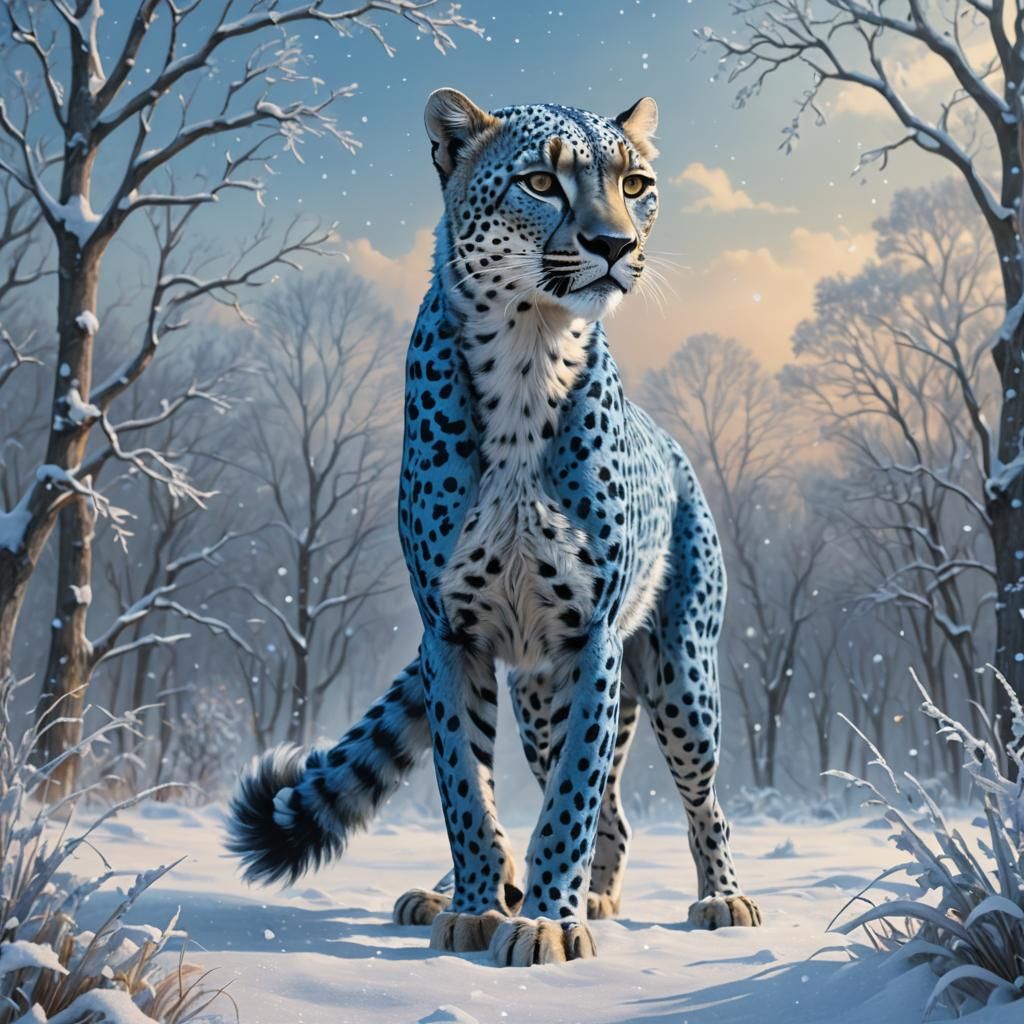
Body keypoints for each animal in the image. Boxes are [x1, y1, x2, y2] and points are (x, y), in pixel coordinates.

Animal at [227, 88, 762, 967]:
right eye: (541, 181)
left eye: (636, 183)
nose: (614, 244)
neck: (527, 352)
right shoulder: (453, 632)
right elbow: (465, 789)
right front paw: (479, 908)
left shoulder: (591, 639)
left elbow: (570, 802)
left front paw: (548, 921)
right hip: (539, 692)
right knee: (602, 809)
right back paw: (510, 894)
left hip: (680, 673)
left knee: (695, 800)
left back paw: (712, 898)